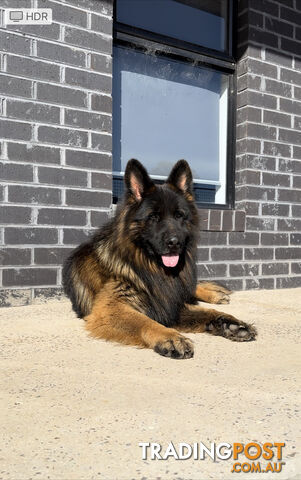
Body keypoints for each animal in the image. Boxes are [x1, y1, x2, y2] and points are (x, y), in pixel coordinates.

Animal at [63, 159, 255, 358]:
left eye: (179, 216)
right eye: (153, 217)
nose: (175, 243)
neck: (152, 268)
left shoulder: (170, 304)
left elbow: (207, 311)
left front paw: (233, 324)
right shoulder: (110, 309)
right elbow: (144, 321)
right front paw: (170, 337)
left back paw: (215, 294)